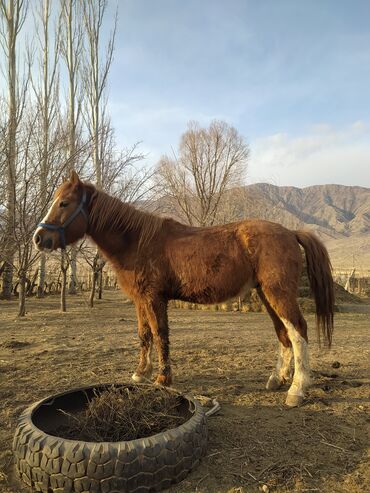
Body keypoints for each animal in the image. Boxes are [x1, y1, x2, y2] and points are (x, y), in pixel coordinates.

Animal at [35, 171, 336, 406]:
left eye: (64, 203)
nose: (39, 238)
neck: (137, 241)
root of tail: (290, 232)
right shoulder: (140, 301)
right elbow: (144, 335)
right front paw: (141, 372)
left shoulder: (155, 299)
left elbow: (160, 335)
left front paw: (162, 378)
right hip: (266, 294)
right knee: (283, 333)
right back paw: (277, 379)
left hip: (278, 293)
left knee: (298, 331)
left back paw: (297, 389)